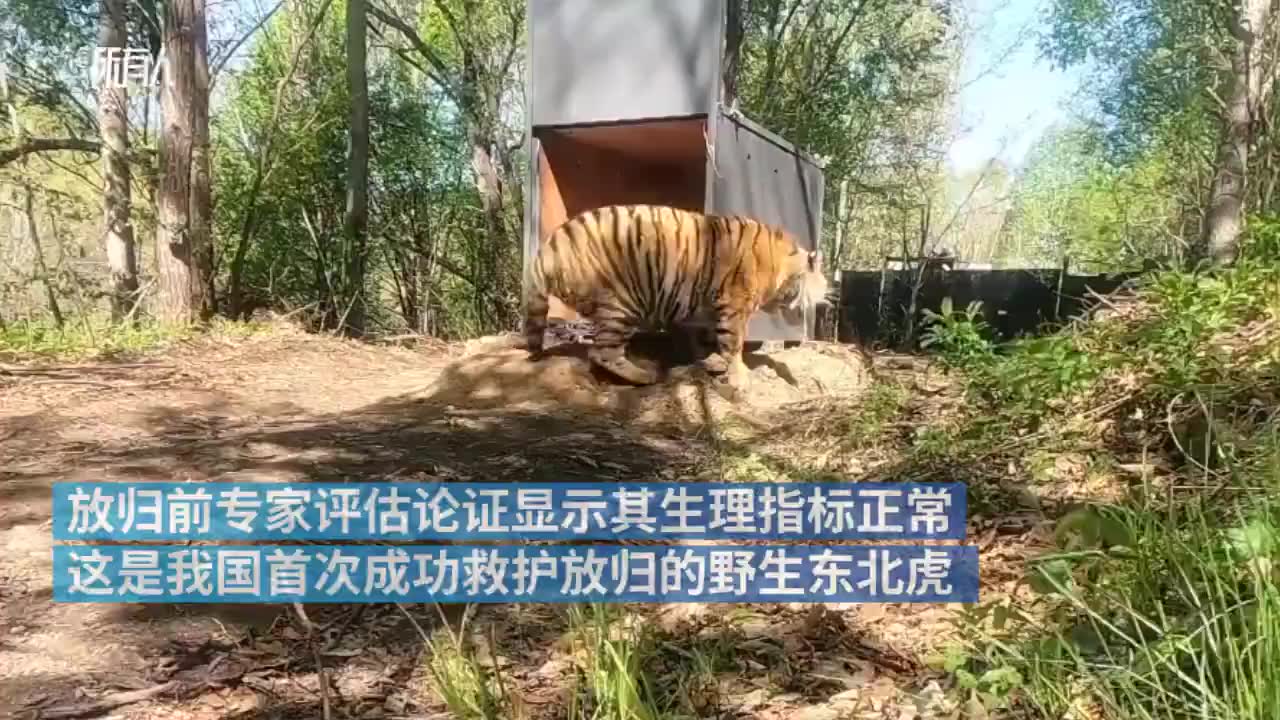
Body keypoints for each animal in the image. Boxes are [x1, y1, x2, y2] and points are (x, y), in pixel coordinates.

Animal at [522, 203, 829, 392]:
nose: (825, 299)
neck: (781, 268)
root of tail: (546, 250)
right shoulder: (735, 307)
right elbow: (734, 343)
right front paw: (740, 376)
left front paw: (710, 362)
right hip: (622, 301)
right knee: (602, 351)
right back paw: (645, 375)